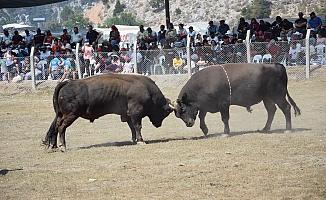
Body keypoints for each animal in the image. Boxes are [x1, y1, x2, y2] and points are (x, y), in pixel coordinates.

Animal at [44, 73, 174, 150]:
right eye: (166, 112)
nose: (158, 124)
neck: (148, 90)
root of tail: (67, 82)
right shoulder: (136, 113)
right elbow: (137, 126)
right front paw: (141, 141)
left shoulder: (127, 115)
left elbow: (132, 127)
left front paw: (134, 140)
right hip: (71, 115)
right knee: (62, 127)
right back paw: (63, 146)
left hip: (61, 115)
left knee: (56, 126)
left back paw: (54, 146)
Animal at [172, 63, 302, 136]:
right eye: (179, 115)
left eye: (183, 109)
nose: (188, 123)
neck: (204, 83)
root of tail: (278, 65)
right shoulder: (205, 105)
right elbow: (201, 116)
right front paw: (205, 130)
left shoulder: (223, 104)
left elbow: (224, 118)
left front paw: (226, 132)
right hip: (267, 98)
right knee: (271, 110)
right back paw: (265, 128)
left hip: (278, 96)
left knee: (286, 108)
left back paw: (288, 129)